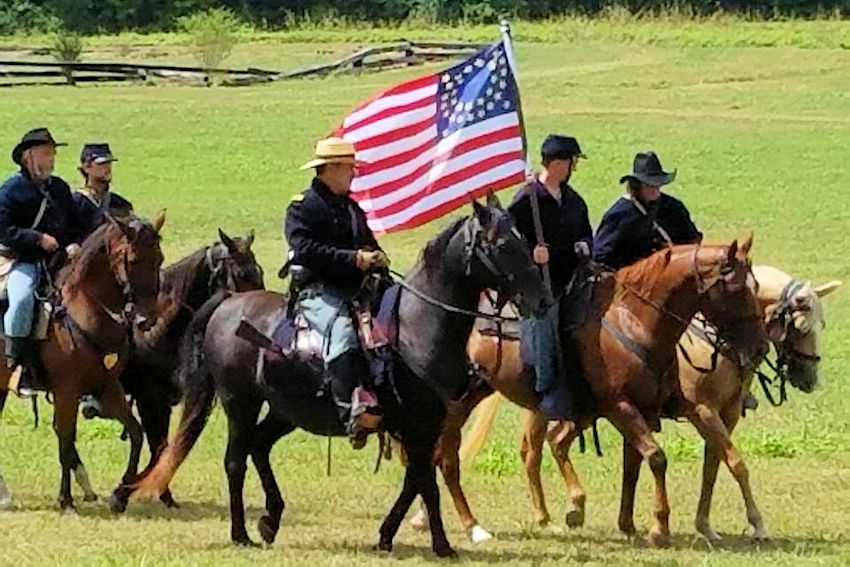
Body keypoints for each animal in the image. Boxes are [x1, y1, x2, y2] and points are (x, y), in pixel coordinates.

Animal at [0, 214, 166, 516]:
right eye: (133, 259)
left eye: (159, 258)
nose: (146, 320)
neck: (85, 308)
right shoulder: (67, 392)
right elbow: (66, 439)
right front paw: (66, 500)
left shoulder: (108, 388)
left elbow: (136, 433)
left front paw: (120, 495)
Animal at [126, 196, 548, 560]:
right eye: (501, 243)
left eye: (522, 238)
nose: (542, 299)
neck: (415, 327)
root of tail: (228, 305)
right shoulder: (417, 425)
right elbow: (425, 482)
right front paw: (442, 545)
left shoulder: (425, 425)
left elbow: (416, 479)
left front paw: (387, 535)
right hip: (240, 404)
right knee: (235, 460)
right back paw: (241, 532)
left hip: (284, 411)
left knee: (258, 448)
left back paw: (270, 519)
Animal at [408, 235, 764, 544]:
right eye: (735, 288)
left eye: (757, 286)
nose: (757, 347)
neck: (634, 320)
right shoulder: (623, 407)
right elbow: (658, 458)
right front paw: (660, 527)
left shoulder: (647, 412)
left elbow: (637, 464)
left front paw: (630, 525)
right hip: (460, 404)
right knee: (450, 457)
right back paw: (473, 525)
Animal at [454, 264, 840, 544]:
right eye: (800, 324)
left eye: (822, 322)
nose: (810, 378)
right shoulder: (702, 412)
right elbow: (737, 463)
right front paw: (757, 525)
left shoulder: (725, 416)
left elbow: (713, 465)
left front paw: (705, 524)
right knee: (533, 449)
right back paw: (549, 515)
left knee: (553, 442)